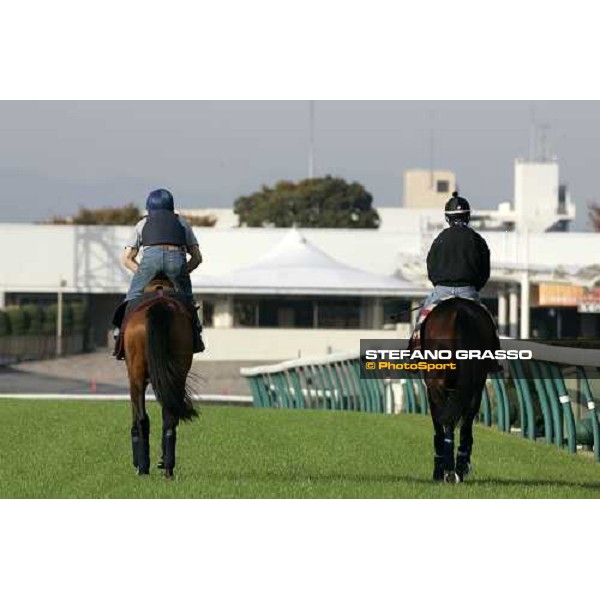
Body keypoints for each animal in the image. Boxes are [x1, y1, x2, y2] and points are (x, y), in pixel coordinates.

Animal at [124, 276, 199, 478]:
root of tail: (159, 304)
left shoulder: (132, 377)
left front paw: (138, 462)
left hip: (136, 374)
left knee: (143, 418)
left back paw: (144, 467)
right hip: (178, 371)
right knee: (170, 416)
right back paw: (167, 468)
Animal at [420, 298, 500, 482]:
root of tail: (459, 313)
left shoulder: (431, 388)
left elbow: (438, 422)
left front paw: (439, 470)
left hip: (437, 382)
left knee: (447, 421)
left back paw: (448, 470)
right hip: (476, 383)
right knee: (466, 422)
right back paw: (458, 466)